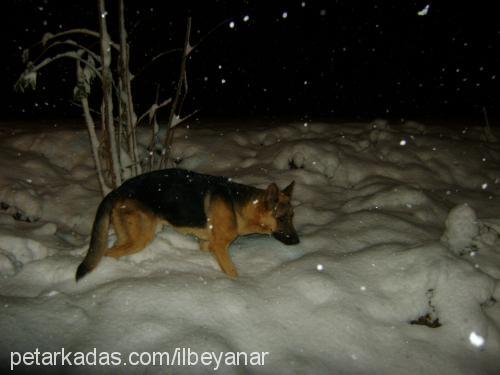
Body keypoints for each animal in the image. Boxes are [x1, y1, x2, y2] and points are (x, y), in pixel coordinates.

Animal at [76, 169, 298, 280]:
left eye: (292, 216)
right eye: (282, 218)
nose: (297, 241)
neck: (239, 205)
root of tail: (118, 190)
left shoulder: (208, 244)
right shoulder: (220, 246)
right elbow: (232, 272)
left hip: (129, 235)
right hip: (141, 237)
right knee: (106, 252)